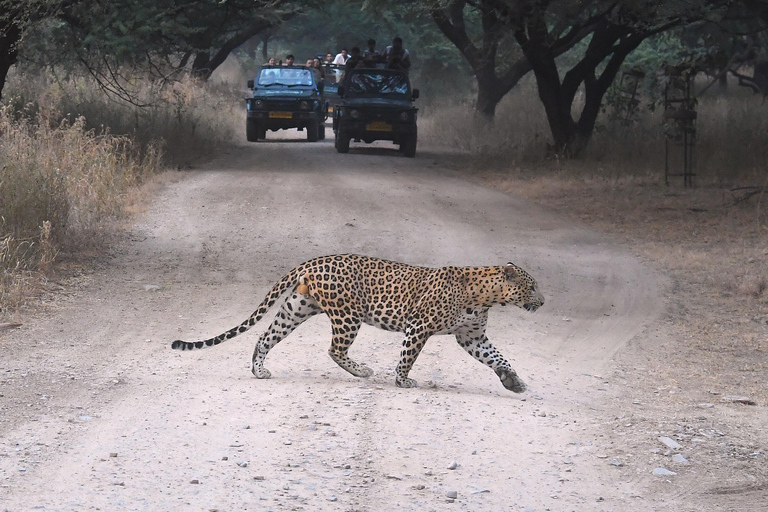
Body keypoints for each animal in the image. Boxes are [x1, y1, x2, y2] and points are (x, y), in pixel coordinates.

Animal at [171, 253, 544, 392]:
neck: (487, 295)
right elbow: (408, 356)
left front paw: (513, 380)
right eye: (531, 286)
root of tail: (312, 261)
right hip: (347, 314)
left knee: (265, 337)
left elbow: (497, 357)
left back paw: (259, 370)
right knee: (334, 349)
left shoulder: (471, 337)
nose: (542, 302)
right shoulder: (420, 326)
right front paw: (402, 381)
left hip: (296, 308)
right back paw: (363, 371)